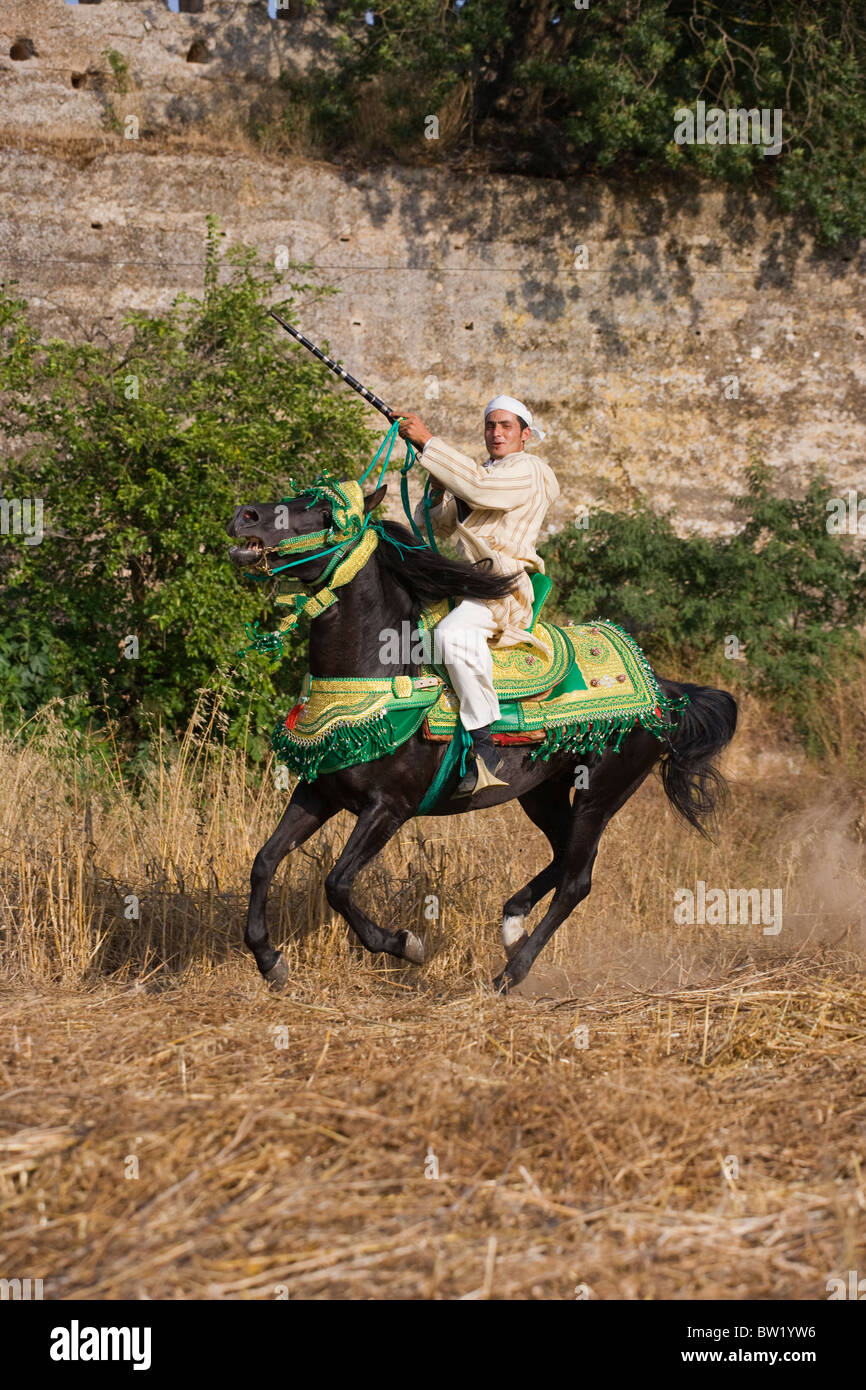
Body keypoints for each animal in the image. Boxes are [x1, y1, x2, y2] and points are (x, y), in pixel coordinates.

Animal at [229, 483, 739, 995]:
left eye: (324, 511)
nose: (244, 516)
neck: (380, 671)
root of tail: (665, 691)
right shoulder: (319, 791)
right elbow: (263, 861)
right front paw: (269, 960)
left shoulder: (389, 808)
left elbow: (336, 884)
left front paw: (405, 944)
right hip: (542, 793)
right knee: (564, 856)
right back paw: (512, 924)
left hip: (600, 795)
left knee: (577, 881)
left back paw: (510, 974)